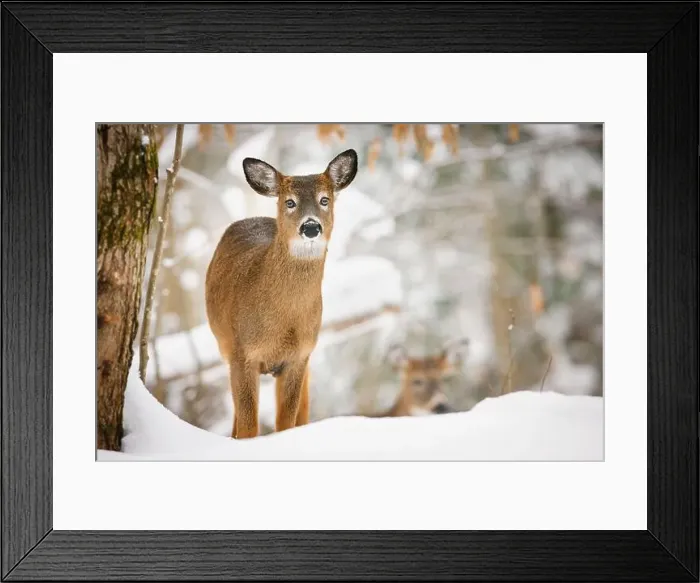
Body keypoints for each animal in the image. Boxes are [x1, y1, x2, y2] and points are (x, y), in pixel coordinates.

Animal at [204, 149, 358, 439]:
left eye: (324, 199)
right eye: (290, 202)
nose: (311, 227)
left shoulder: (298, 357)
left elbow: (285, 424)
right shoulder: (243, 353)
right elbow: (249, 426)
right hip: (226, 347)